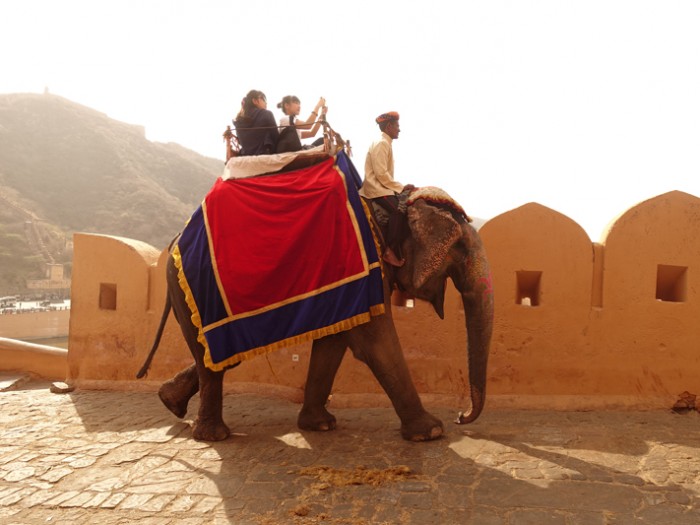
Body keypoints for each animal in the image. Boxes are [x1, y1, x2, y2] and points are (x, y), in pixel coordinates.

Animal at [137, 188, 494, 442]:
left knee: (220, 358)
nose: (460, 416)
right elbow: (374, 342)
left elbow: (334, 340)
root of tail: (175, 241)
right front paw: (431, 432)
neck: (393, 206)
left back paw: (170, 402)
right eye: (461, 250)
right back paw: (213, 435)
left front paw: (319, 425)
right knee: (215, 358)